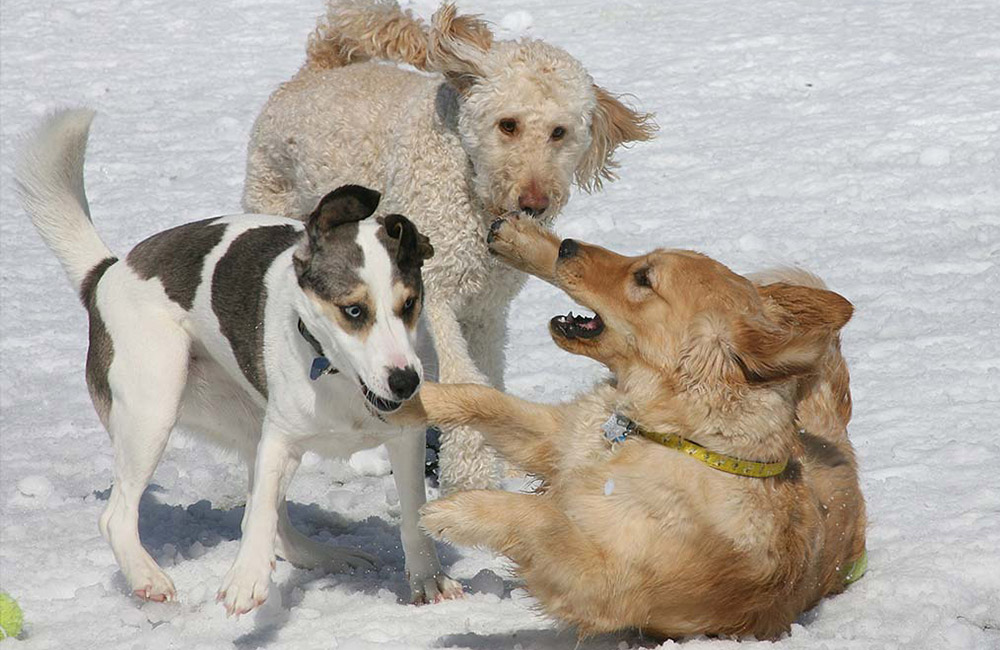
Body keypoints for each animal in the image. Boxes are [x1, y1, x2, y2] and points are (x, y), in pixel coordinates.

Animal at [15, 110, 460, 612]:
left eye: (409, 304)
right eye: (353, 311)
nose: (405, 381)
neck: (335, 374)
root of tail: (106, 274)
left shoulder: (404, 435)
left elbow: (413, 514)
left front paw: (428, 579)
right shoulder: (280, 439)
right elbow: (261, 511)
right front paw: (246, 579)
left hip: (243, 422)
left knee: (274, 524)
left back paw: (323, 555)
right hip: (153, 407)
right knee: (118, 515)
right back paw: (147, 576)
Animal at [238, 0, 652, 486]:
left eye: (559, 132)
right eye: (507, 125)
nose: (534, 203)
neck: (469, 181)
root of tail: (316, 69)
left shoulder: (487, 311)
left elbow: (487, 373)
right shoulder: (435, 292)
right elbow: (462, 372)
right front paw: (472, 472)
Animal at [402, 214, 864, 636]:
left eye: (644, 278)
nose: (568, 245)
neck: (667, 436)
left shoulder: (604, 580)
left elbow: (543, 517)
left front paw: (456, 511)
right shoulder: (561, 439)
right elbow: (479, 396)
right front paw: (414, 398)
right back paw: (524, 239)